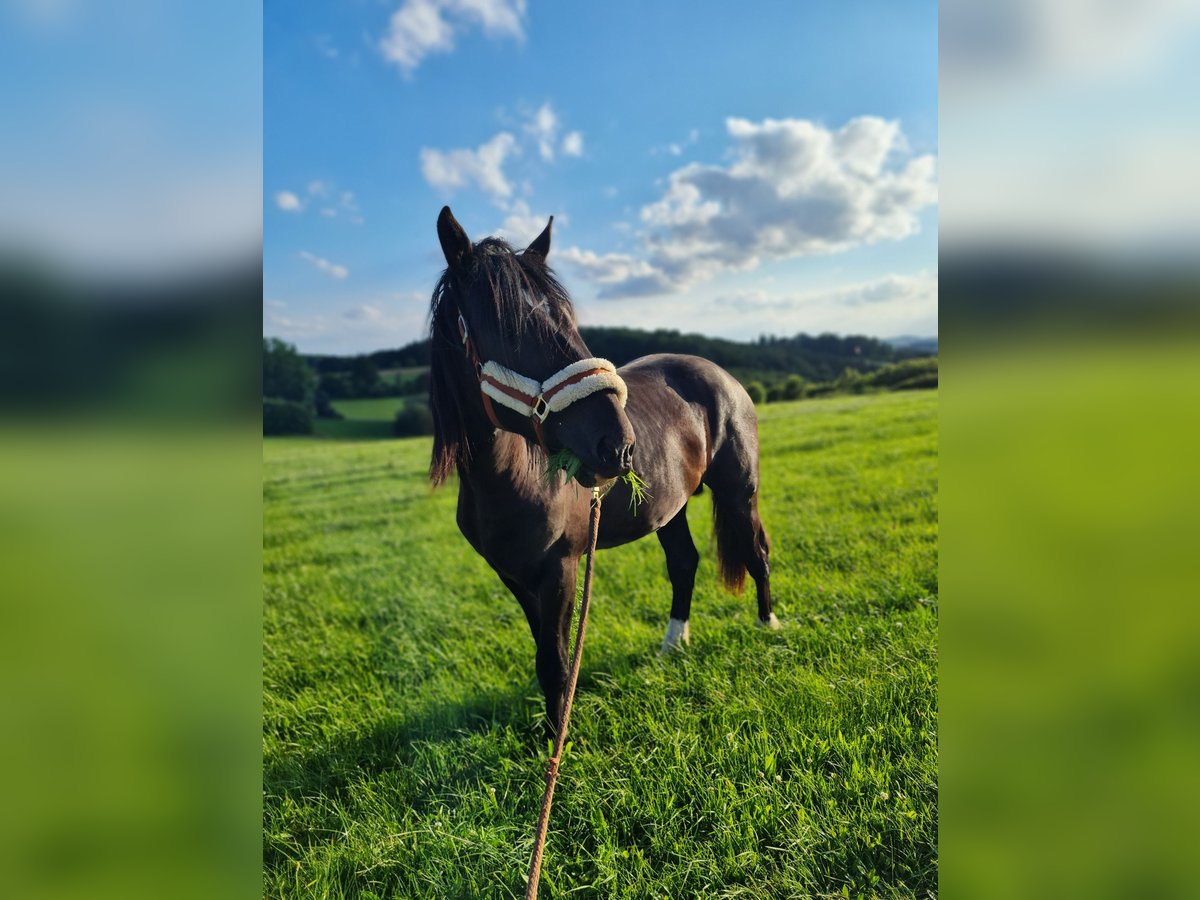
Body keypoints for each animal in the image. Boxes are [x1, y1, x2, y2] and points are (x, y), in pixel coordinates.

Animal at [429, 207, 777, 729]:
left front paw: (559, 739)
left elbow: (555, 664)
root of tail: (719, 373)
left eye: (567, 318)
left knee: (756, 551)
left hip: (740, 491)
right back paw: (673, 645)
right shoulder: (514, 576)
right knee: (684, 563)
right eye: (507, 327)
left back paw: (769, 625)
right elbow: (543, 657)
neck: (506, 483)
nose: (619, 444)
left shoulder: (560, 570)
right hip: (670, 508)